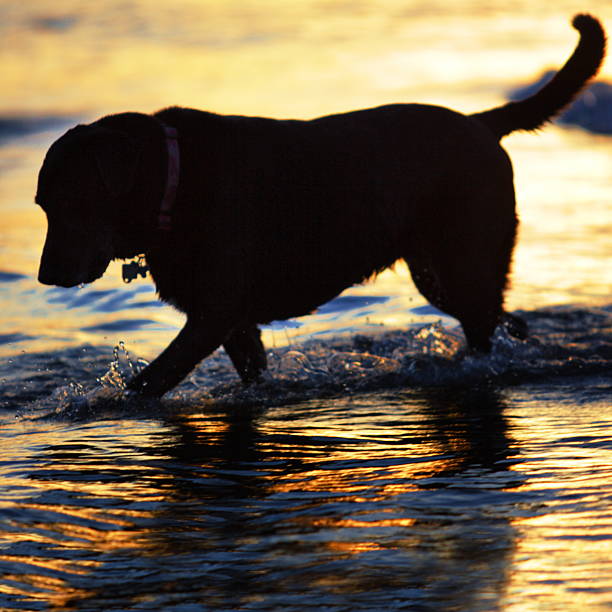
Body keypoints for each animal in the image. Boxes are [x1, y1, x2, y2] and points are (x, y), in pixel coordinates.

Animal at [35, 16, 604, 396]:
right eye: (41, 203)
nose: (44, 276)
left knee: (489, 324)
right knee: (505, 322)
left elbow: (152, 379)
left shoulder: (213, 313)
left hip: (463, 258)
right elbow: (248, 371)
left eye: (72, 201)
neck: (175, 182)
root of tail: (482, 121)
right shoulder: (232, 322)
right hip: (438, 270)